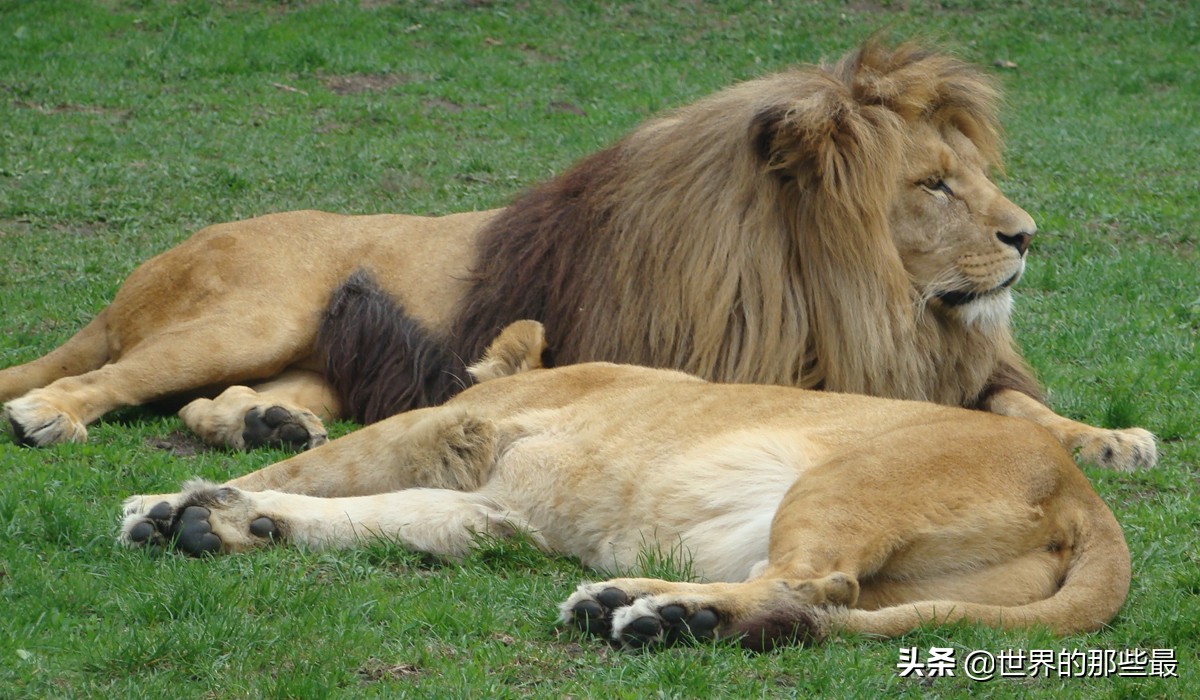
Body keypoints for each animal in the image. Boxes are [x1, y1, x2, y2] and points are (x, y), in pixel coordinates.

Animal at [0, 42, 1152, 470]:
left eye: (972, 173)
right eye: (933, 185)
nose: (1026, 236)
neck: (855, 298)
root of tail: (149, 267)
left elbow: (1015, 407)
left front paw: (1105, 436)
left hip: (315, 353)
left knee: (217, 402)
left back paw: (264, 424)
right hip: (251, 310)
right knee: (116, 378)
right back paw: (51, 413)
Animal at [124, 324, 1132, 653]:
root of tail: (1083, 494)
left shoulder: (446, 428)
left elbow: (316, 470)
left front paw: (171, 508)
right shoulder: (491, 509)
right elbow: (373, 516)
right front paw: (231, 524)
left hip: (843, 479)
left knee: (810, 583)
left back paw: (652, 616)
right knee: (807, 603)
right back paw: (640, 607)